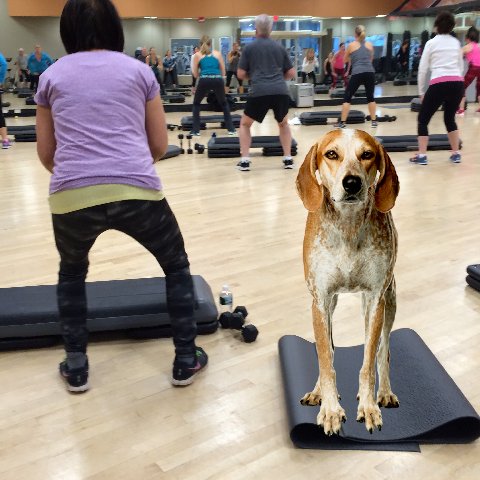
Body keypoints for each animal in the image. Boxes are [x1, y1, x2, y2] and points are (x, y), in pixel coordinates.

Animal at [296, 129, 400, 436]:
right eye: (331, 154)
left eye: (367, 154)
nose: (352, 182)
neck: (348, 228)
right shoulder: (320, 300)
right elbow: (325, 359)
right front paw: (329, 409)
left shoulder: (376, 298)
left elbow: (368, 362)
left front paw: (368, 407)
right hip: (331, 305)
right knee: (328, 351)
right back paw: (318, 391)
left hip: (389, 301)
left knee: (383, 351)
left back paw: (384, 392)